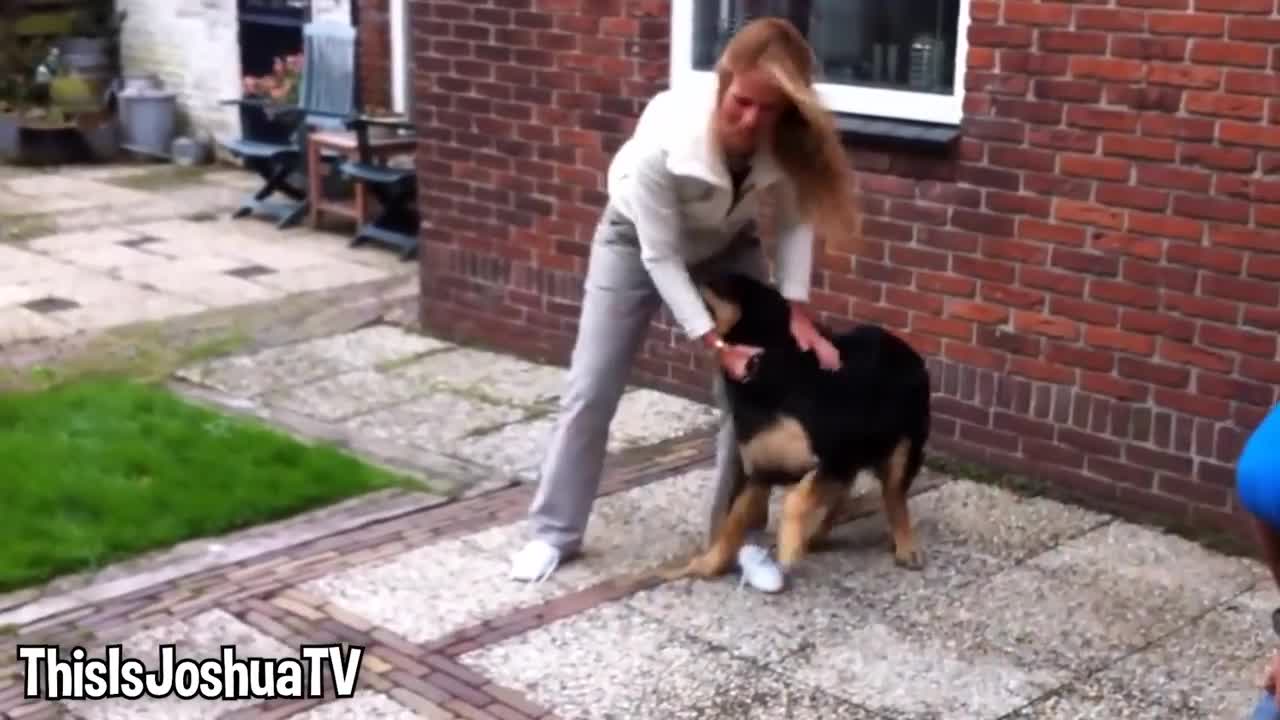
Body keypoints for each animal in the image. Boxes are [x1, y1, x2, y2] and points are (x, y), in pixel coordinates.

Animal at [660, 269, 931, 584]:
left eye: (718, 283)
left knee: (894, 498)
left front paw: (789, 546)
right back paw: (817, 537)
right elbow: (732, 525)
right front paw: (705, 565)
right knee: (840, 498)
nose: (690, 275)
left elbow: (794, 499)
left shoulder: (832, 458)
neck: (767, 362)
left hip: (902, 448)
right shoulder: (761, 472)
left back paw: (905, 546)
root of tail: (909, 351)